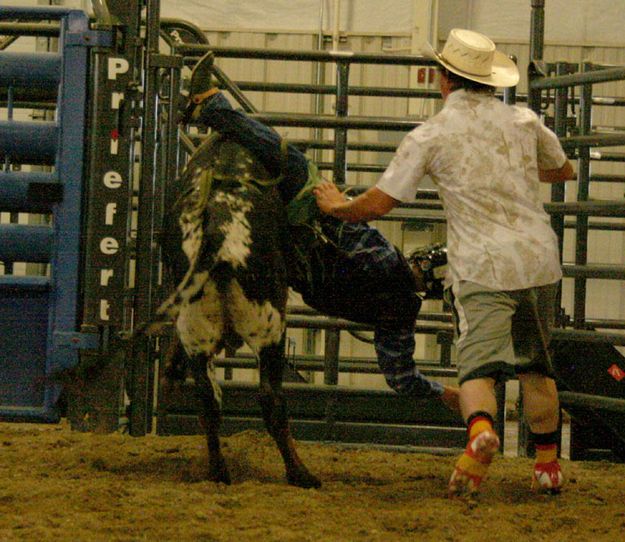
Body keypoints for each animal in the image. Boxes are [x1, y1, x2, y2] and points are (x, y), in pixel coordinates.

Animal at [149, 135, 320, 488]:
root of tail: (217, 231)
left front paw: (171, 370)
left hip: (196, 330)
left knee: (208, 401)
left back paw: (218, 472)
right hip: (269, 329)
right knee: (271, 399)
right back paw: (300, 473)